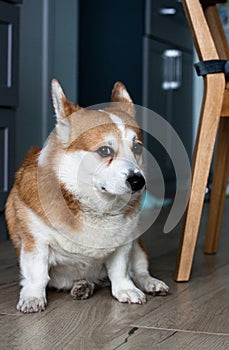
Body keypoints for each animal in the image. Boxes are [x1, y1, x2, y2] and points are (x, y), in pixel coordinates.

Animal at [5, 80, 168, 314]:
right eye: (105, 151)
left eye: (136, 147)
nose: (138, 182)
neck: (97, 206)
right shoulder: (35, 242)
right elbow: (37, 274)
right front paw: (32, 297)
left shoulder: (124, 244)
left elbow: (120, 270)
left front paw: (126, 290)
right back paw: (82, 286)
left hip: (138, 244)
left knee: (140, 270)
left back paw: (151, 283)